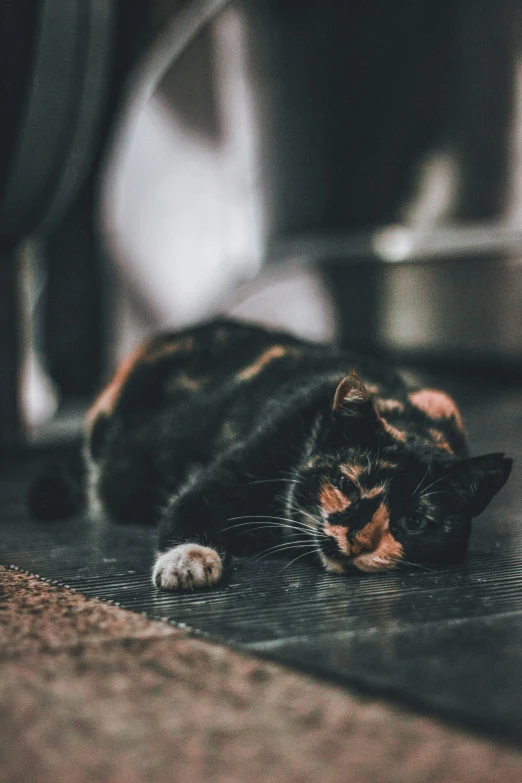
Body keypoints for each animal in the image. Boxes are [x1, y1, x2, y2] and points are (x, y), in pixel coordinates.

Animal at [28, 316, 508, 588]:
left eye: (415, 522)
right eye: (346, 484)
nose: (358, 538)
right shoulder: (234, 469)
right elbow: (189, 505)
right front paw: (188, 560)